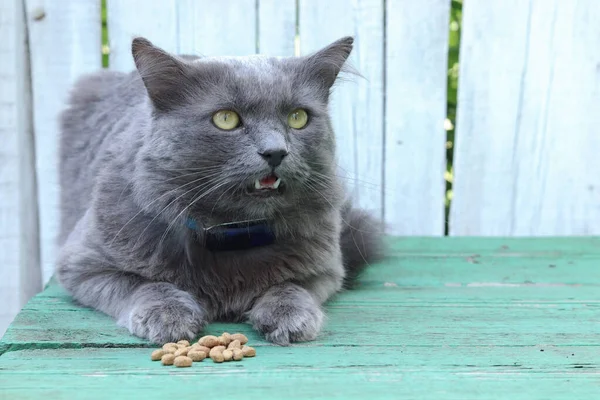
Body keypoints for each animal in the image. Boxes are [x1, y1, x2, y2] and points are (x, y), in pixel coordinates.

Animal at [57, 36, 384, 346]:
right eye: (226, 119)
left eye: (298, 117)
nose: (276, 152)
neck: (232, 232)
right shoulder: (84, 264)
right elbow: (145, 284)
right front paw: (169, 315)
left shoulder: (324, 269)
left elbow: (290, 286)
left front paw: (288, 317)